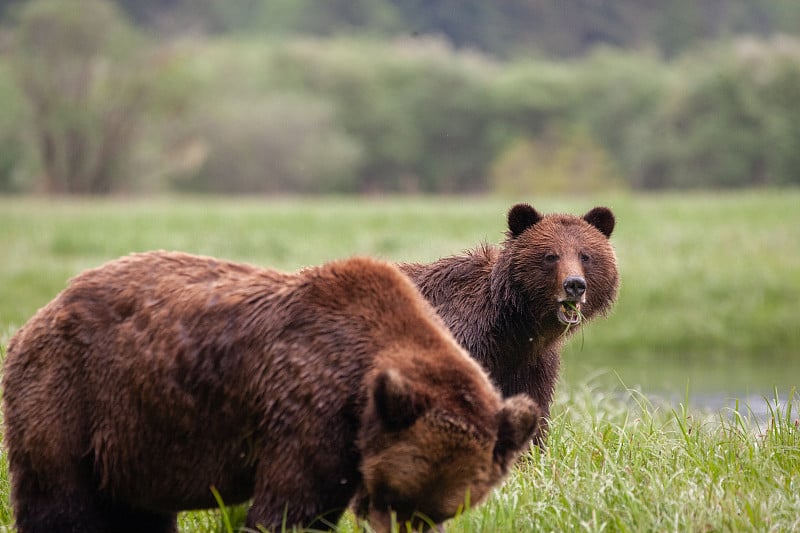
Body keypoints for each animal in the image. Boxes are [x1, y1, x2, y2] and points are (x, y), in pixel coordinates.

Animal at [3, 250, 540, 532]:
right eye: (393, 494)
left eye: (440, 511)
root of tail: (36, 317)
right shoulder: (306, 409)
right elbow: (289, 509)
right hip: (73, 396)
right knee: (59, 500)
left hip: (135, 437)